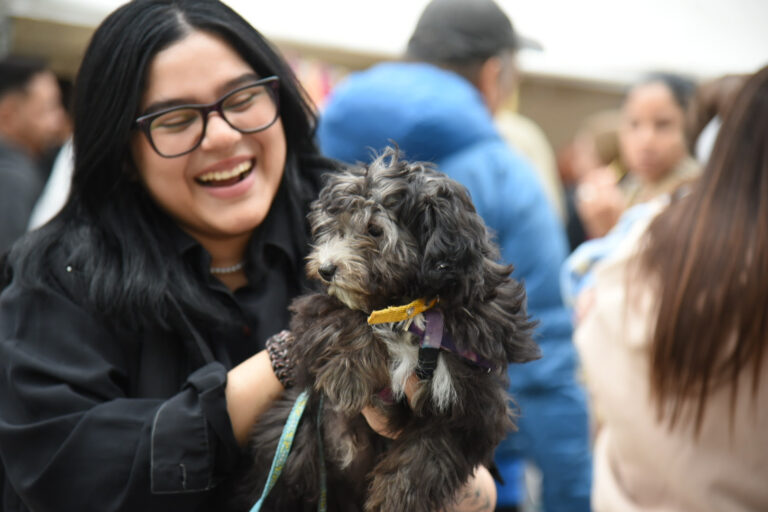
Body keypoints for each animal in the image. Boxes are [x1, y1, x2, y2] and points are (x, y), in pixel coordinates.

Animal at [234, 148, 540, 512]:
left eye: (374, 230)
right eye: (335, 228)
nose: (325, 269)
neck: (410, 306)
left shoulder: (471, 400)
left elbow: (429, 455)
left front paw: (398, 498)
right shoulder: (312, 311)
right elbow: (344, 317)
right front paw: (350, 373)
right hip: (296, 430)